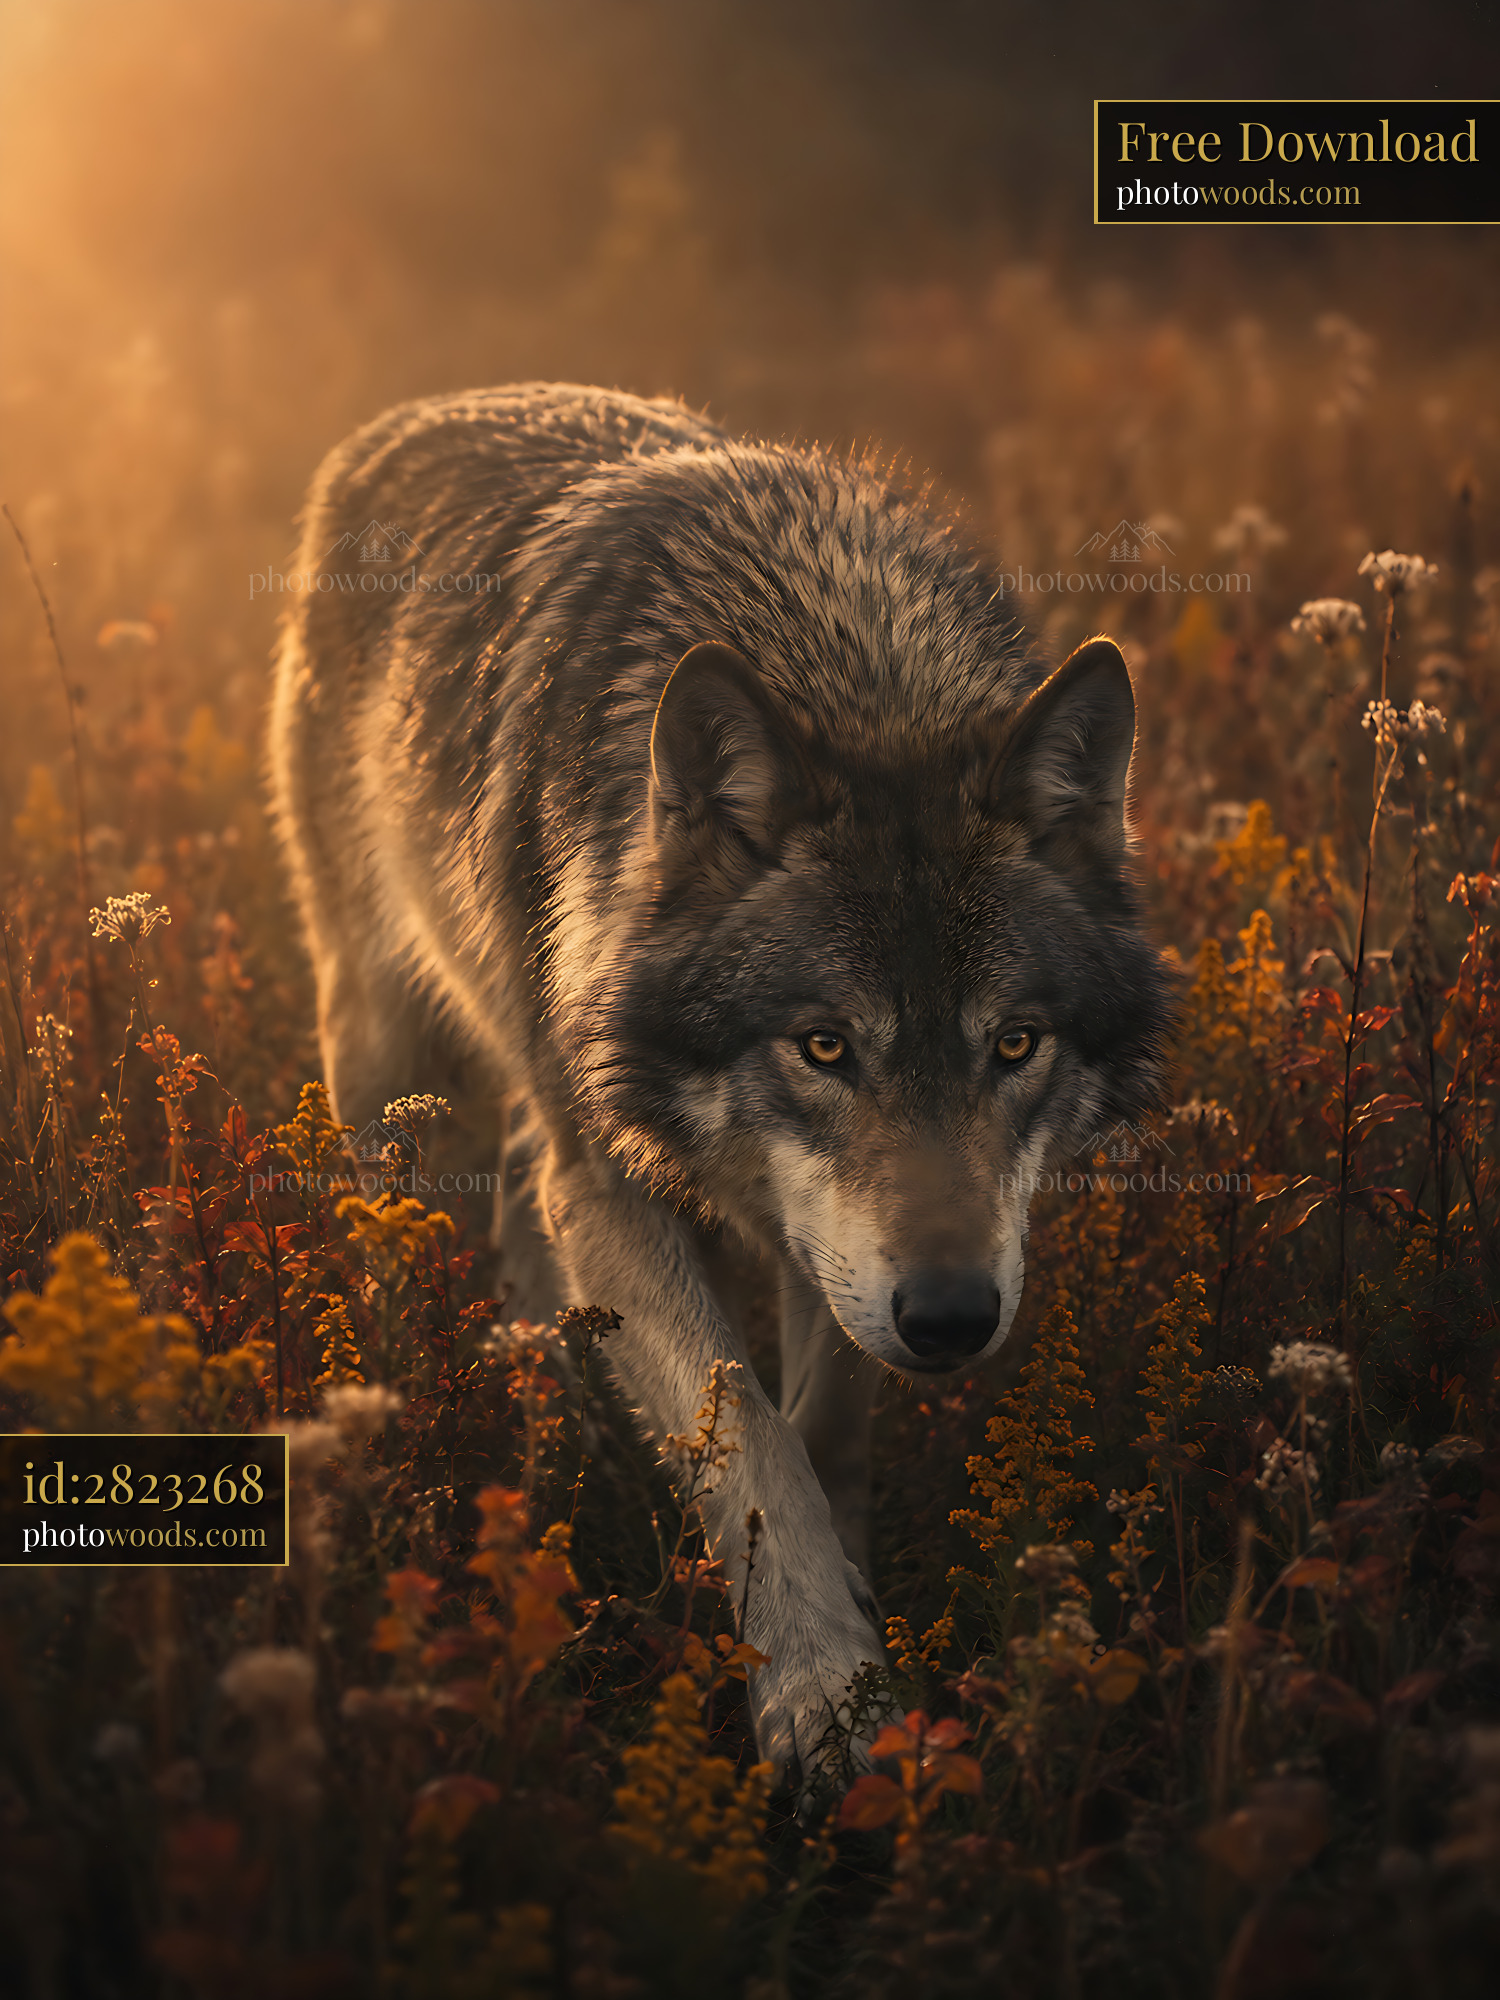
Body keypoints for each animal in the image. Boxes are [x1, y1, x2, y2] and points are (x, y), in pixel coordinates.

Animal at [269, 382, 1171, 1781]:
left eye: (1015, 1045)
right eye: (824, 1046)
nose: (954, 1318)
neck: (844, 659)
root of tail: (418, 410)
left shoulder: (840, 1254)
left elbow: (824, 1417)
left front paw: (849, 1619)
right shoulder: (618, 1182)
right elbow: (744, 1419)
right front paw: (821, 1689)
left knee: (523, 1194)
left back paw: (560, 1401)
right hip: (385, 1044)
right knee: (399, 1229)